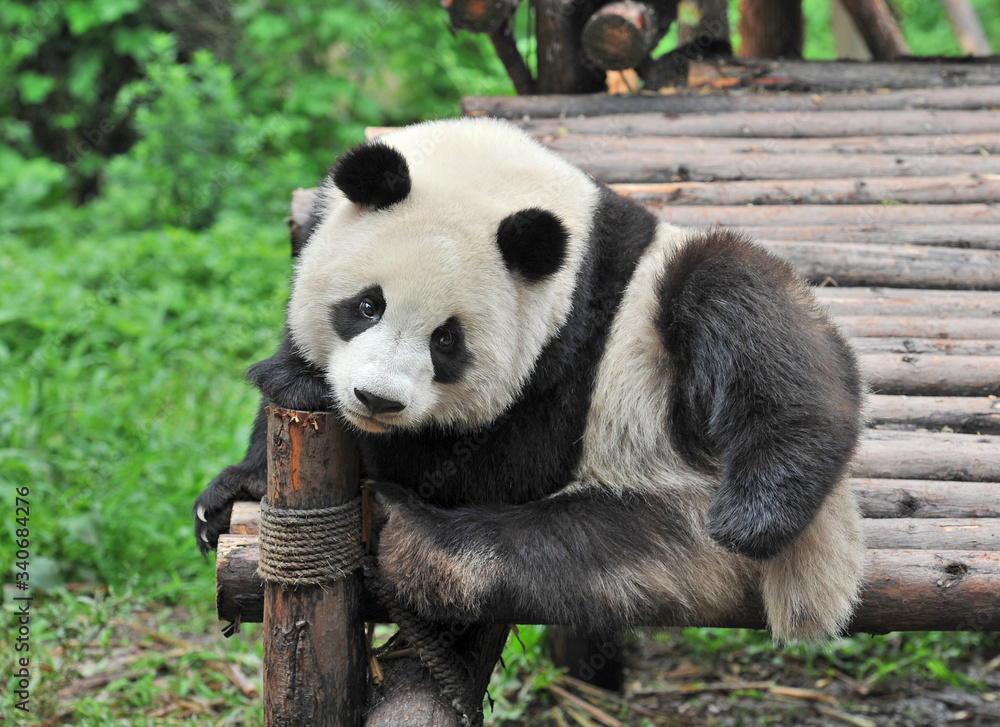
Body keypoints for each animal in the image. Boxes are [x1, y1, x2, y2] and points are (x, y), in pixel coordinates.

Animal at [195, 117, 866, 645]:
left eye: (447, 341)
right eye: (367, 305)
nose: (377, 400)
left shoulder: (568, 355)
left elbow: (494, 468)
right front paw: (238, 478)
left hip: (683, 463)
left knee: (752, 320)